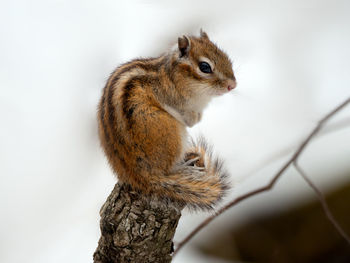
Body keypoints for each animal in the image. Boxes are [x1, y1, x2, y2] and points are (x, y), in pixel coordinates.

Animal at [97, 29, 237, 210]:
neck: (172, 75)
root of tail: (142, 177)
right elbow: (189, 118)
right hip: (170, 130)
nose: (233, 85)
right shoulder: (172, 98)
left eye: (225, 56)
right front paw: (195, 118)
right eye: (205, 67)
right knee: (168, 169)